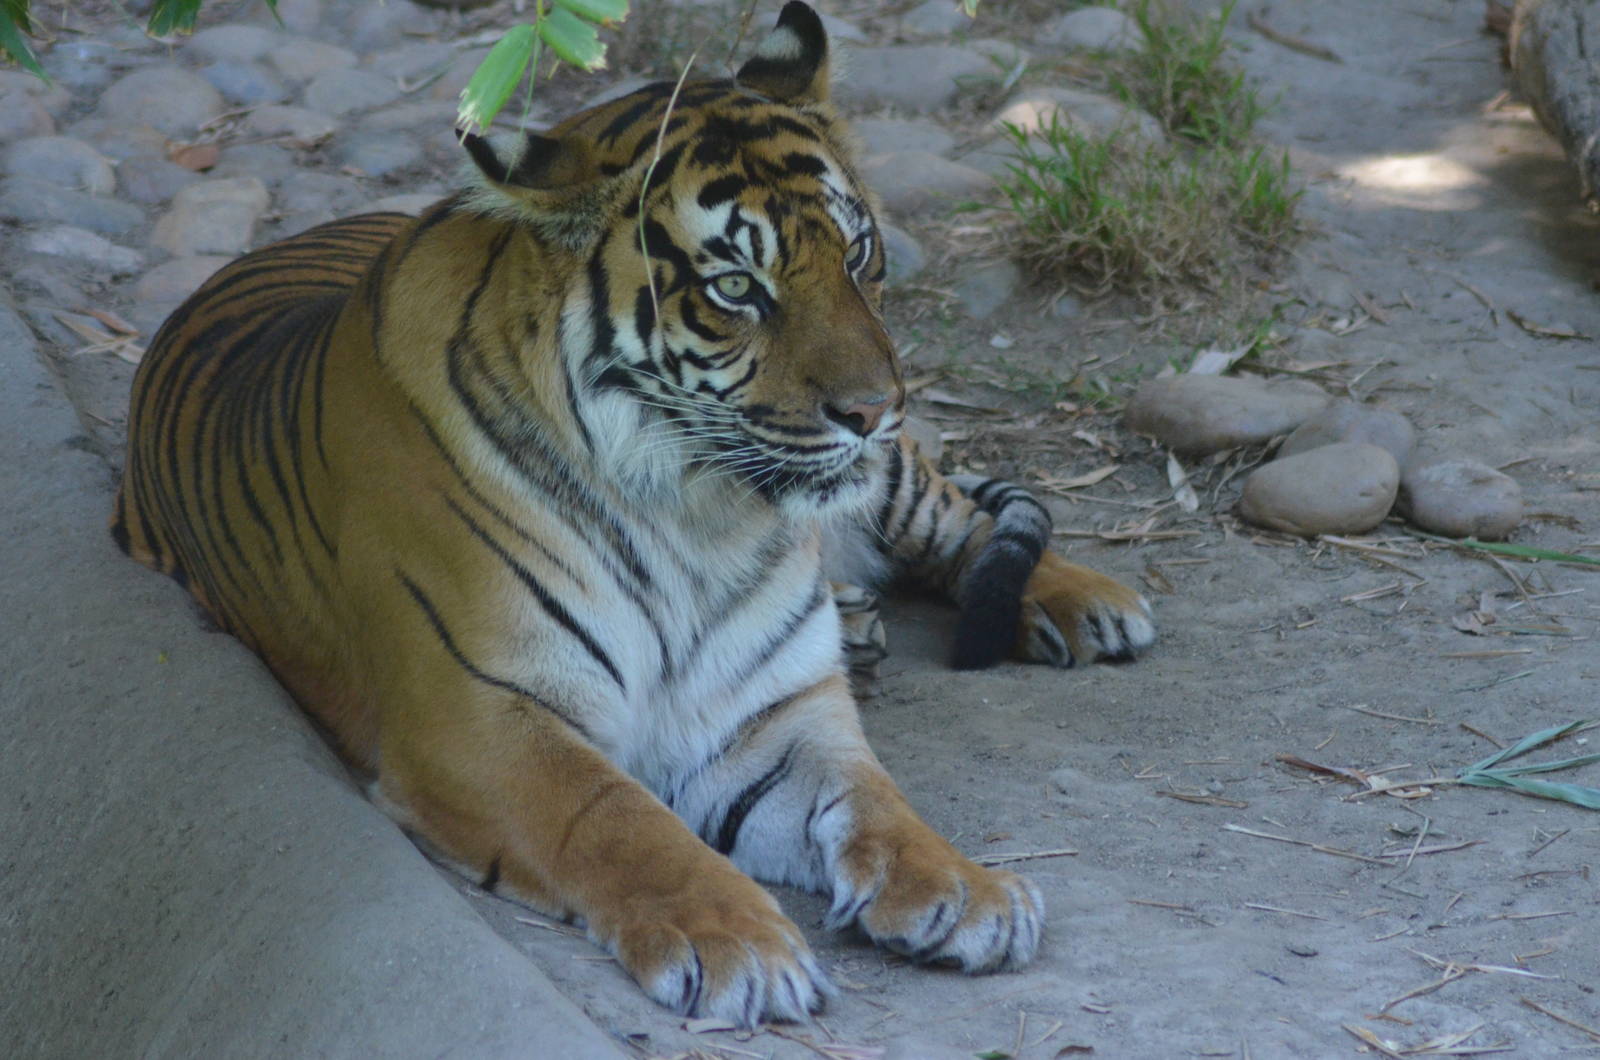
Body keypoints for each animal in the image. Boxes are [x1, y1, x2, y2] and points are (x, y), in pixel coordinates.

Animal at [112, 1, 1155, 1026]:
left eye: (857, 254)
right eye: (735, 287)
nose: (873, 411)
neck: (696, 514)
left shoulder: (772, 715)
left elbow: (878, 800)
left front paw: (963, 888)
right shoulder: (479, 712)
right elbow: (618, 820)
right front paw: (738, 946)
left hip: (901, 485)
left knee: (961, 517)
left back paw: (1086, 604)